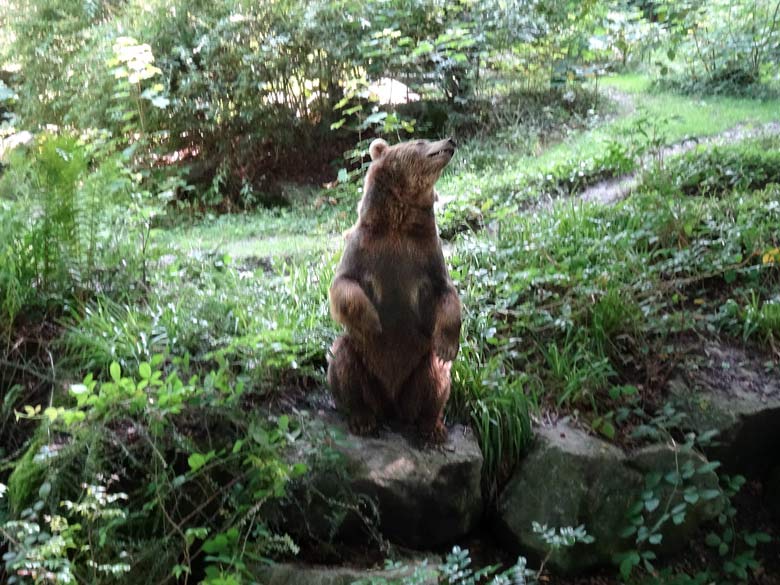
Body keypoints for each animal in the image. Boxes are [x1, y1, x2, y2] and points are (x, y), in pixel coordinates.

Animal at [326, 137, 460, 440]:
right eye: (421, 141)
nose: (449, 140)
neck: (398, 223)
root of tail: (390, 405)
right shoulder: (364, 247)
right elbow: (344, 283)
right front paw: (372, 321)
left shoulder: (425, 253)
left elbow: (446, 293)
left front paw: (448, 345)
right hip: (365, 365)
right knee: (343, 361)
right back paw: (362, 418)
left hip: (417, 366)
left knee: (436, 377)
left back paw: (432, 425)